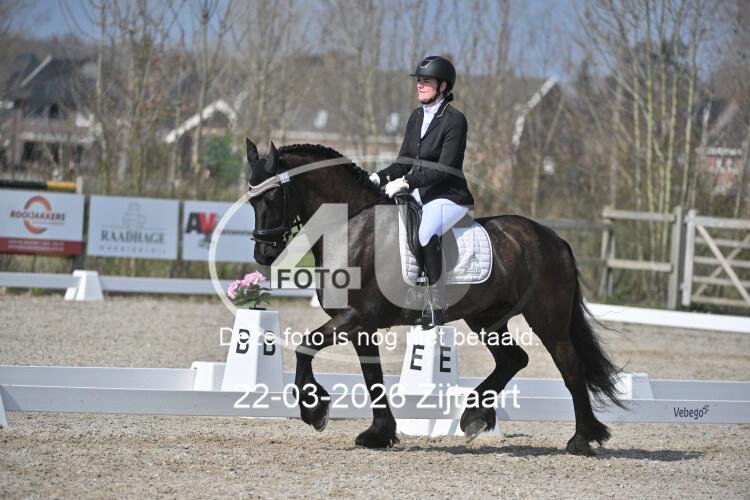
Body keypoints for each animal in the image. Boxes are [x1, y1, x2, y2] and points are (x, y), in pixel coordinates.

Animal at [245, 138, 623, 456]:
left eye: (272, 198)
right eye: (251, 199)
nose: (263, 253)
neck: (353, 226)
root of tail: (553, 239)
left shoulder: (357, 317)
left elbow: (305, 348)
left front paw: (316, 411)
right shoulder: (360, 325)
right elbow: (373, 377)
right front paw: (379, 434)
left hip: (546, 317)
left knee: (570, 366)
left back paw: (581, 439)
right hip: (487, 317)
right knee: (513, 360)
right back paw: (474, 417)